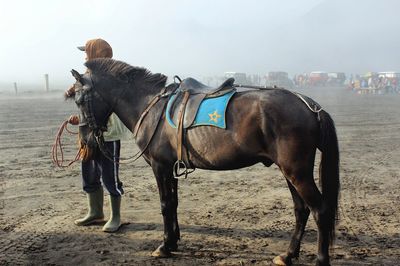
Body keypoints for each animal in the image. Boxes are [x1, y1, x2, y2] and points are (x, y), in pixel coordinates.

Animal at [66, 58, 340, 266]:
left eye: (79, 100)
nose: (86, 140)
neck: (150, 106)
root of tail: (310, 106)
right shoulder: (170, 168)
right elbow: (174, 203)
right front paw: (174, 241)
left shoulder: (159, 167)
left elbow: (165, 204)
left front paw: (164, 245)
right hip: (289, 171)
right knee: (301, 210)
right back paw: (288, 255)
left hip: (297, 171)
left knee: (320, 210)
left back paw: (320, 259)